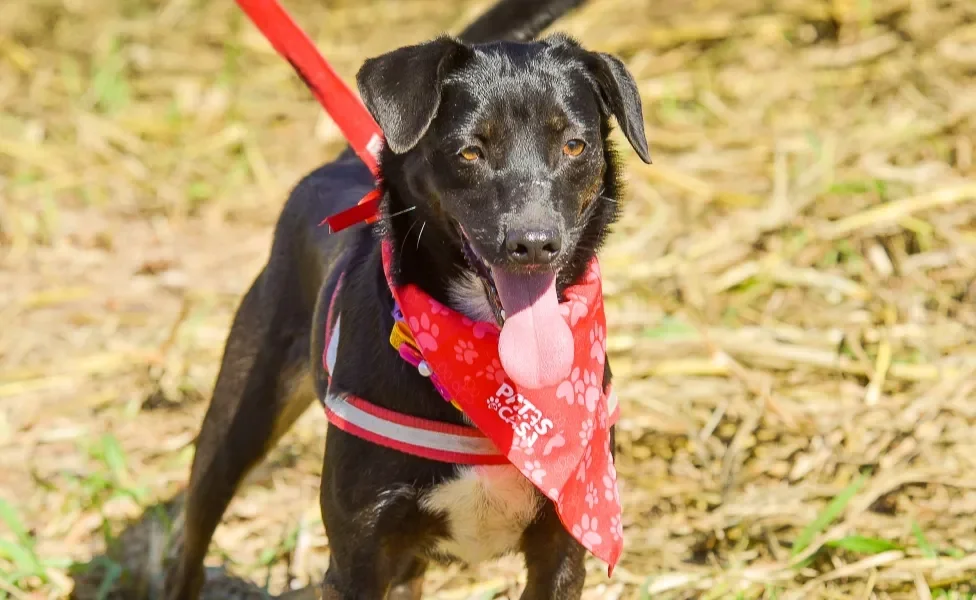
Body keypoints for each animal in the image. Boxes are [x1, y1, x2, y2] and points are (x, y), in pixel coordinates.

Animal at [169, 2, 652, 596]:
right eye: (471, 150)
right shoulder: (357, 557)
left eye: (574, 145)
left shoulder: (562, 551)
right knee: (193, 540)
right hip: (235, 427)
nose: (535, 243)